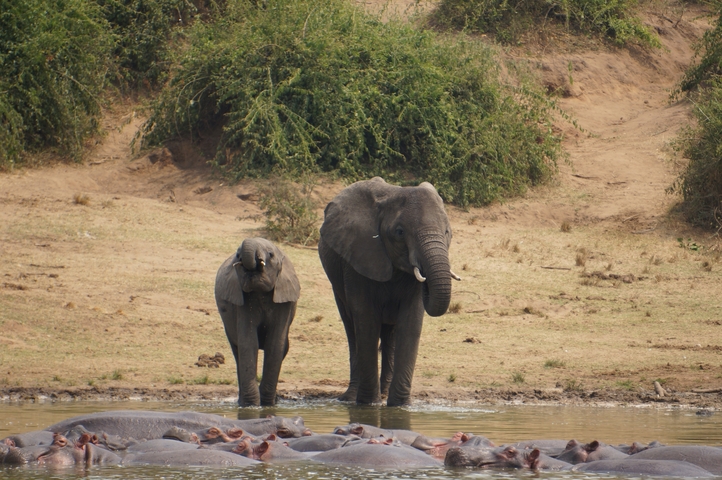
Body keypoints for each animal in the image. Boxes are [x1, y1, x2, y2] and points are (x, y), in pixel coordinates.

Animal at [215, 237, 300, 406]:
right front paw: (251, 405)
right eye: (237, 254)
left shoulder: (283, 303)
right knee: (237, 351)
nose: (243, 259)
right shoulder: (242, 302)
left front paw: (267, 405)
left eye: (271, 254)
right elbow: (248, 343)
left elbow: (275, 345)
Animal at [318, 177, 460, 406]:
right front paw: (368, 404)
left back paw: (384, 393)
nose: (426, 279)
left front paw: (400, 405)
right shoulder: (357, 258)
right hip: (337, 281)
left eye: (447, 232)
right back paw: (350, 398)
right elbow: (366, 322)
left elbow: (410, 323)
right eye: (400, 232)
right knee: (351, 329)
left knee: (390, 334)